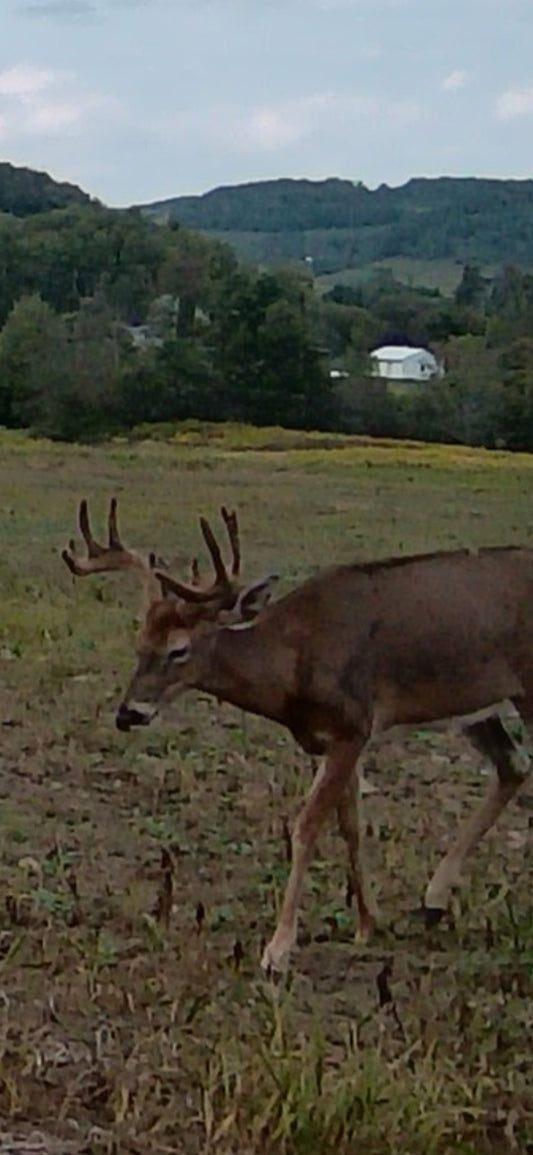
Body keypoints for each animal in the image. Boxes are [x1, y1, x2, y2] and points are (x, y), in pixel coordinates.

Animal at [63, 498, 533, 977]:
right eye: (139, 641)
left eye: (179, 649)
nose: (128, 713)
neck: (292, 663)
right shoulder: (330, 739)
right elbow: (350, 825)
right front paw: (367, 923)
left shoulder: (354, 724)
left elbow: (306, 828)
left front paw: (278, 949)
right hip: (478, 705)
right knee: (513, 766)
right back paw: (432, 900)